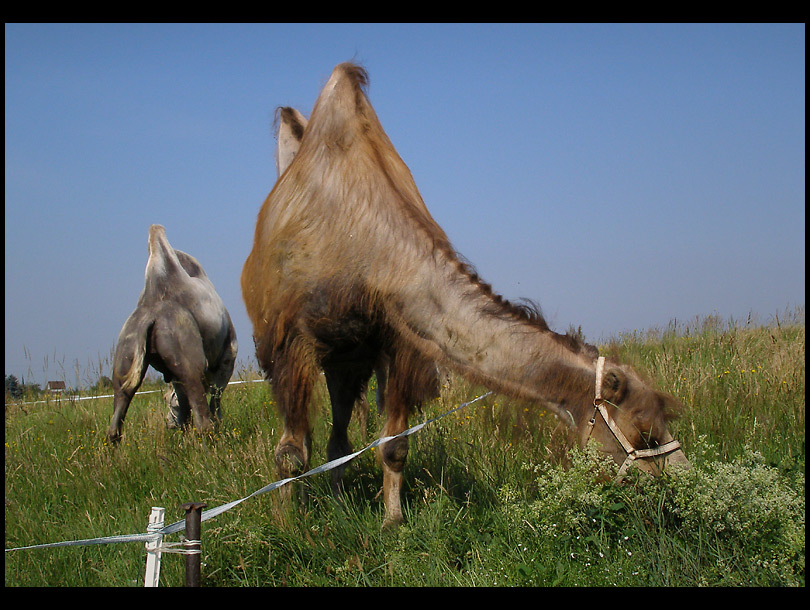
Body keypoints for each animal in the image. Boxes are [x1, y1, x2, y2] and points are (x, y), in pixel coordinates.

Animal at [241, 64, 688, 524]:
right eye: (647, 433)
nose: (682, 478)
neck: (365, 247)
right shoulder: (292, 342)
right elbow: (290, 455)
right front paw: (287, 525)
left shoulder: (400, 343)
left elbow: (394, 445)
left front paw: (392, 522)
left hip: (348, 362)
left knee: (340, 441)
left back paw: (339, 502)